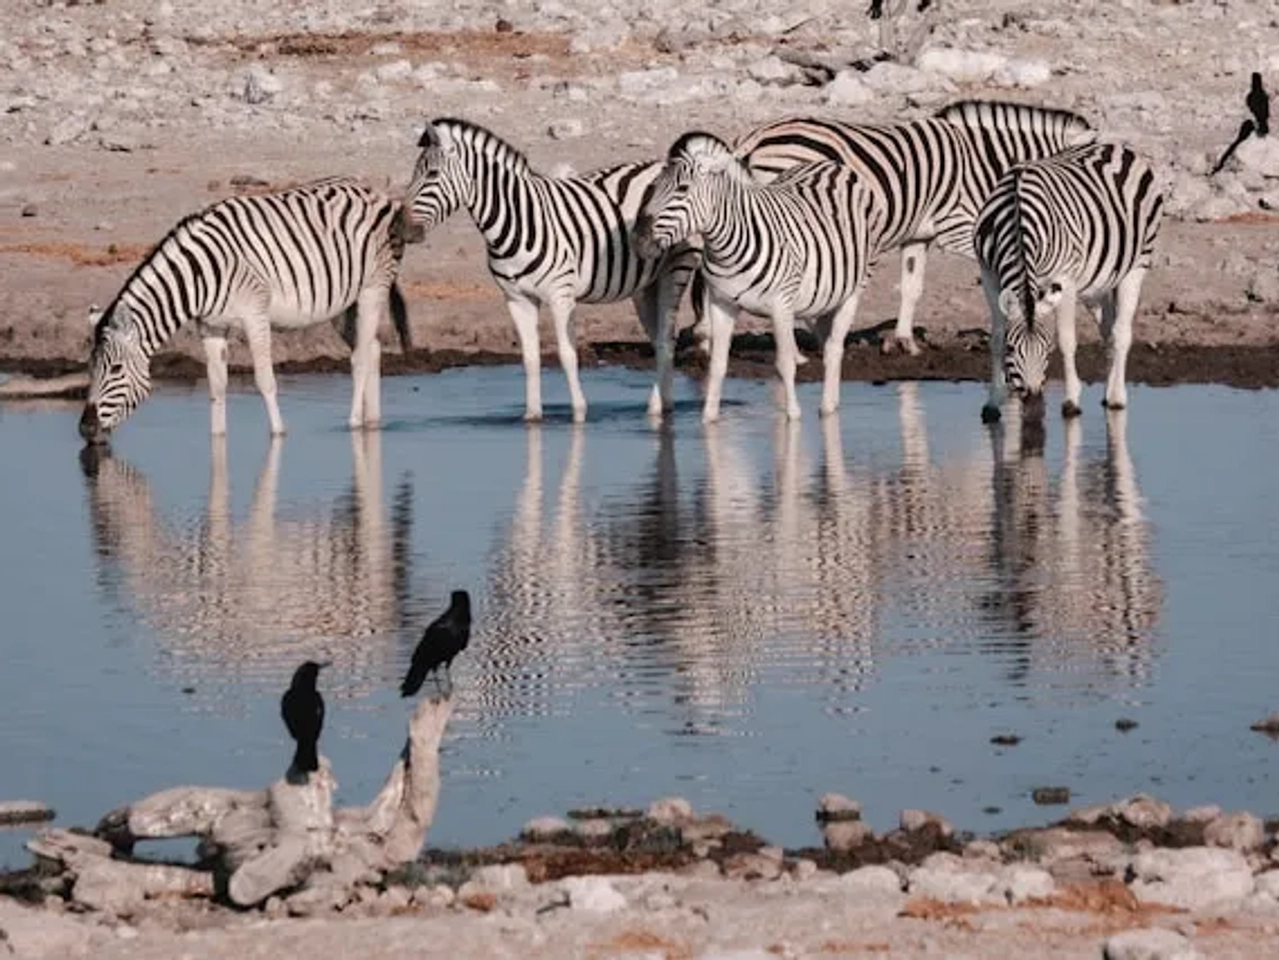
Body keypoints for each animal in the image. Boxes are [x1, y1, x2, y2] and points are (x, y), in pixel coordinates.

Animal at [78, 177, 417, 443]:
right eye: (89, 368)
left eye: (116, 370)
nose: (85, 430)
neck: (201, 272)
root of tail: (374, 192)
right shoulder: (210, 325)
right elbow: (217, 385)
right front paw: (217, 439)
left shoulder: (255, 314)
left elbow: (265, 380)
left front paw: (279, 434)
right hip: (343, 302)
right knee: (371, 348)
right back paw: (373, 422)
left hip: (373, 287)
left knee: (361, 357)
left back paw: (354, 424)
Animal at [405, 117, 700, 422]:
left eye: (432, 174)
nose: (402, 228)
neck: (517, 222)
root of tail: (663, 164)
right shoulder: (517, 299)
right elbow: (530, 358)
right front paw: (532, 416)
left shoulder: (561, 296)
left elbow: (567, 355)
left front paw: (579, 413)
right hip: (645, 286)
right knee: (658, 340)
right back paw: (664, 404)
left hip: (676, 269)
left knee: (666, 340)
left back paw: (656, 408)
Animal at [633, 131, 888, 423]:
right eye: (652, 188)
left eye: (682, 189)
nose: (638, 240)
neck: (728, 246)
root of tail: (834, 166)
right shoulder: (721, 303)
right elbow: (718, 365)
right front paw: (709, 418)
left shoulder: (781, 305)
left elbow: (785, 363)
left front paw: (793, 416)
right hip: (824, 294)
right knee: (828, 345)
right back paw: (832, 404)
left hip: (854, 289)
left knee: (835, 347)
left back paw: (826, 409)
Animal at [687, 100, 1095, 357]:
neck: (984, 162)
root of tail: (752, 139)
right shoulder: (958, 227)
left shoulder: (918, 234)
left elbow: (912, 288)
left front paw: (903, 342)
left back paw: (707, 339)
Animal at [974, 141, 1164, 423]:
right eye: (1011, 350)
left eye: (1047, 349)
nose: (1033, 401)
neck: (1016, 216)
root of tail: (1118, 147)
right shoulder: (988, 273)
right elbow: (995, 337)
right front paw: (992, 402)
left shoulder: (1065, 280)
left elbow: (1067, 340)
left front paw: (1072, 400)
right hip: (1098, 283)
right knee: (1108, 330)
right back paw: (1108, 393)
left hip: (1137, 264)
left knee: (1121, 332)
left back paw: (1117, 398)